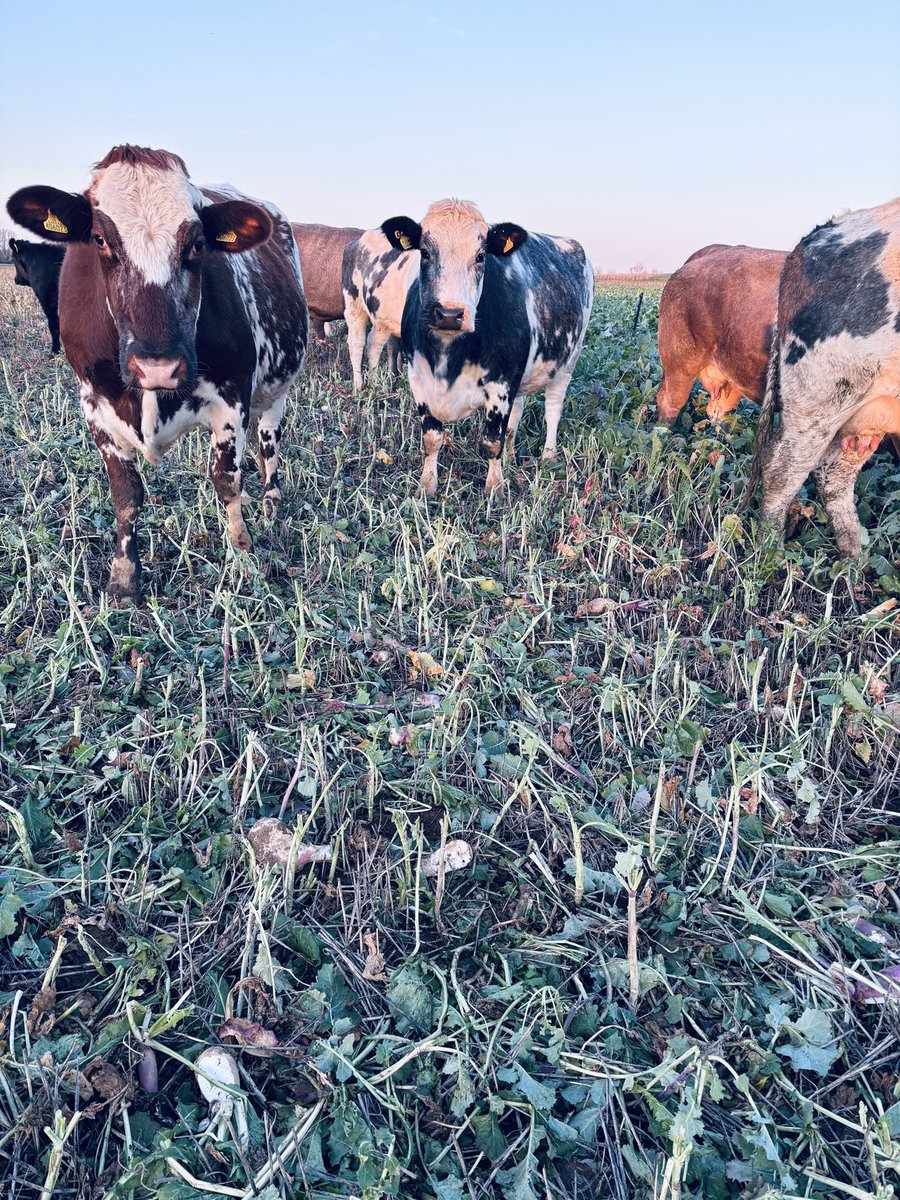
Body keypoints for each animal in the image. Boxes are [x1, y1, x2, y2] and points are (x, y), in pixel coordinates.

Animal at [7, 145, 307, 604]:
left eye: (198, 244)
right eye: (100, 240)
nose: (157, 366)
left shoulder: (233, 397)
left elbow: (227, 480)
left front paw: (242, 554)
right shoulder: (95, 406)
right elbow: (126, 495)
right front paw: (124, 578)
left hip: (277, 388)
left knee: (269, 438)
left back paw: (272, 495)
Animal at [342, 229, 417, 392]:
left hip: (383, 317)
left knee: (374, 343)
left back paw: (376, 383)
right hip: (354, 305)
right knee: (357, 342)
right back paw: (359, 386)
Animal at [380, 199, 594, 494]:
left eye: (481, 256)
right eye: (424, 253)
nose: (449, 313)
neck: (447, 356)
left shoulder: (501, 382)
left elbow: (492, 441)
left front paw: (495, 488)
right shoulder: (418, 379)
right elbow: (432, 438)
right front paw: (427, 485)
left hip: (567, 363)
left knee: (553, 410)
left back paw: (549, 456)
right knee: (516, 415)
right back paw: (512, 454)